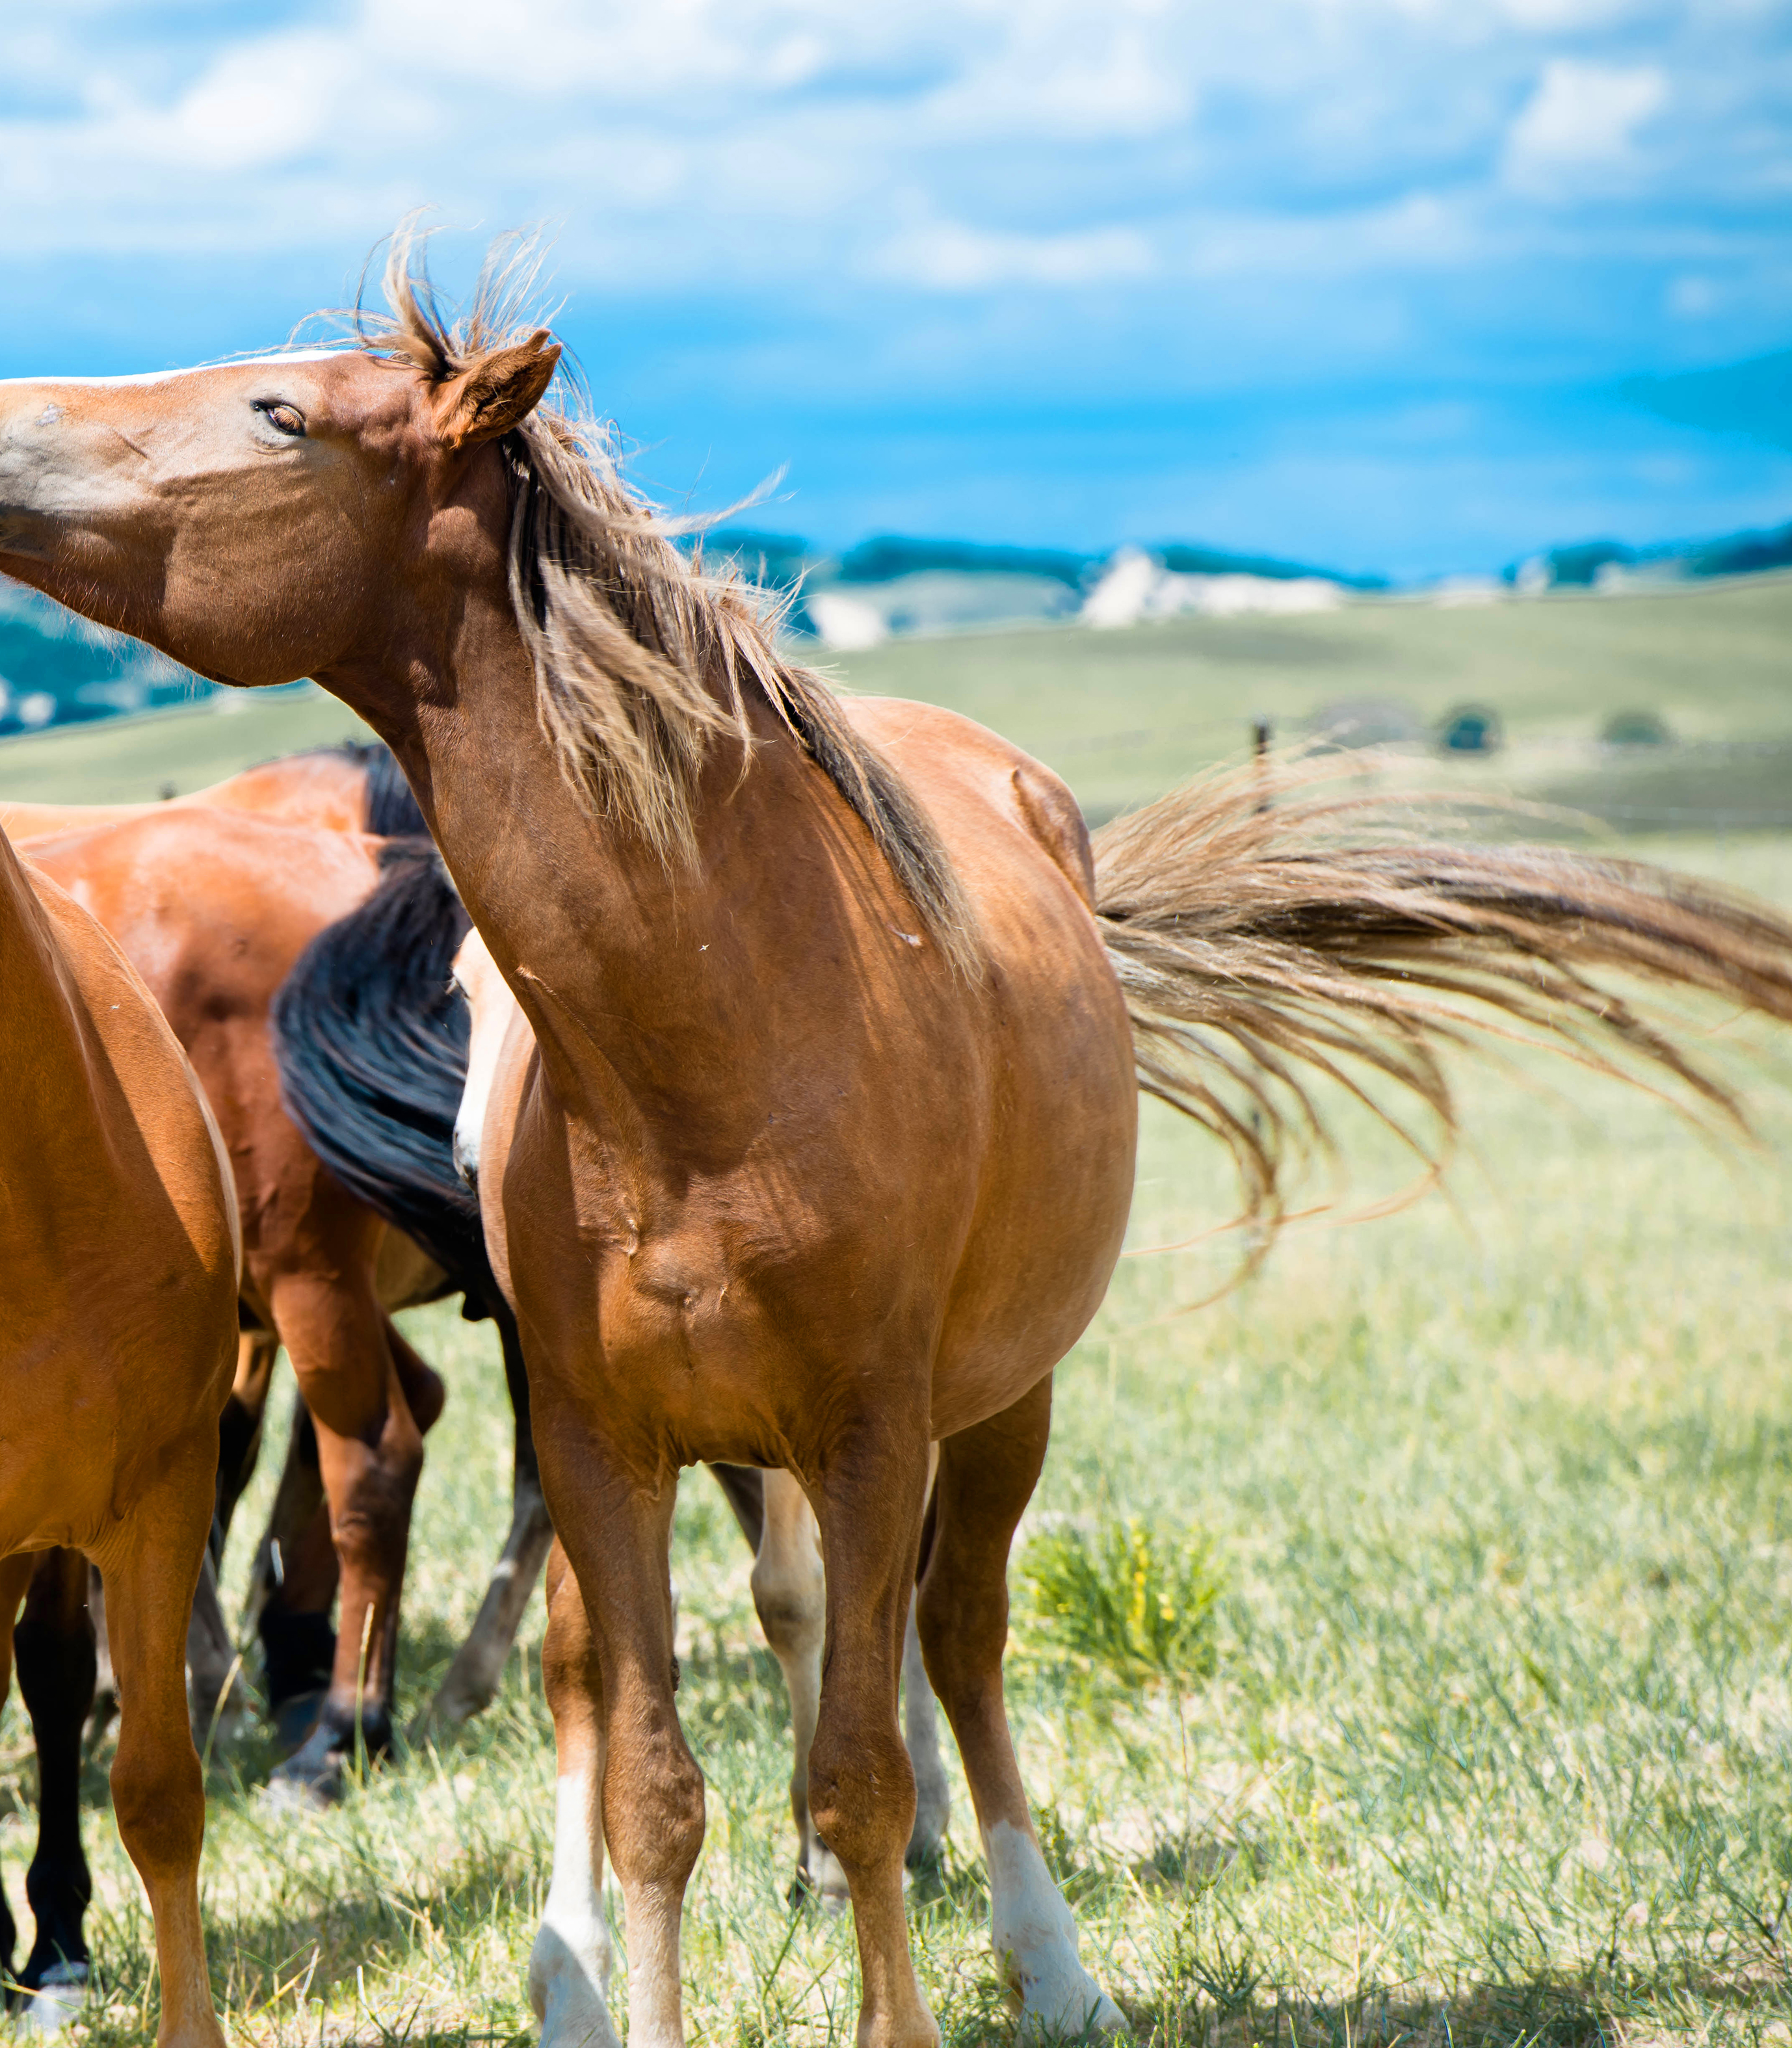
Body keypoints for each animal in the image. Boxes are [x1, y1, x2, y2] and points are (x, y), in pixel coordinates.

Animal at [7, 238, 1792, 2048]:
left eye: (277, 413)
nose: (12, 416)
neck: (712, 1029)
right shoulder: (601, 1441)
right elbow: (654, 1780)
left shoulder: (871, 1433)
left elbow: (857, 1772)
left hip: (1000, 1403)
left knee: (959, 1638)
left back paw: (1042, 1951)